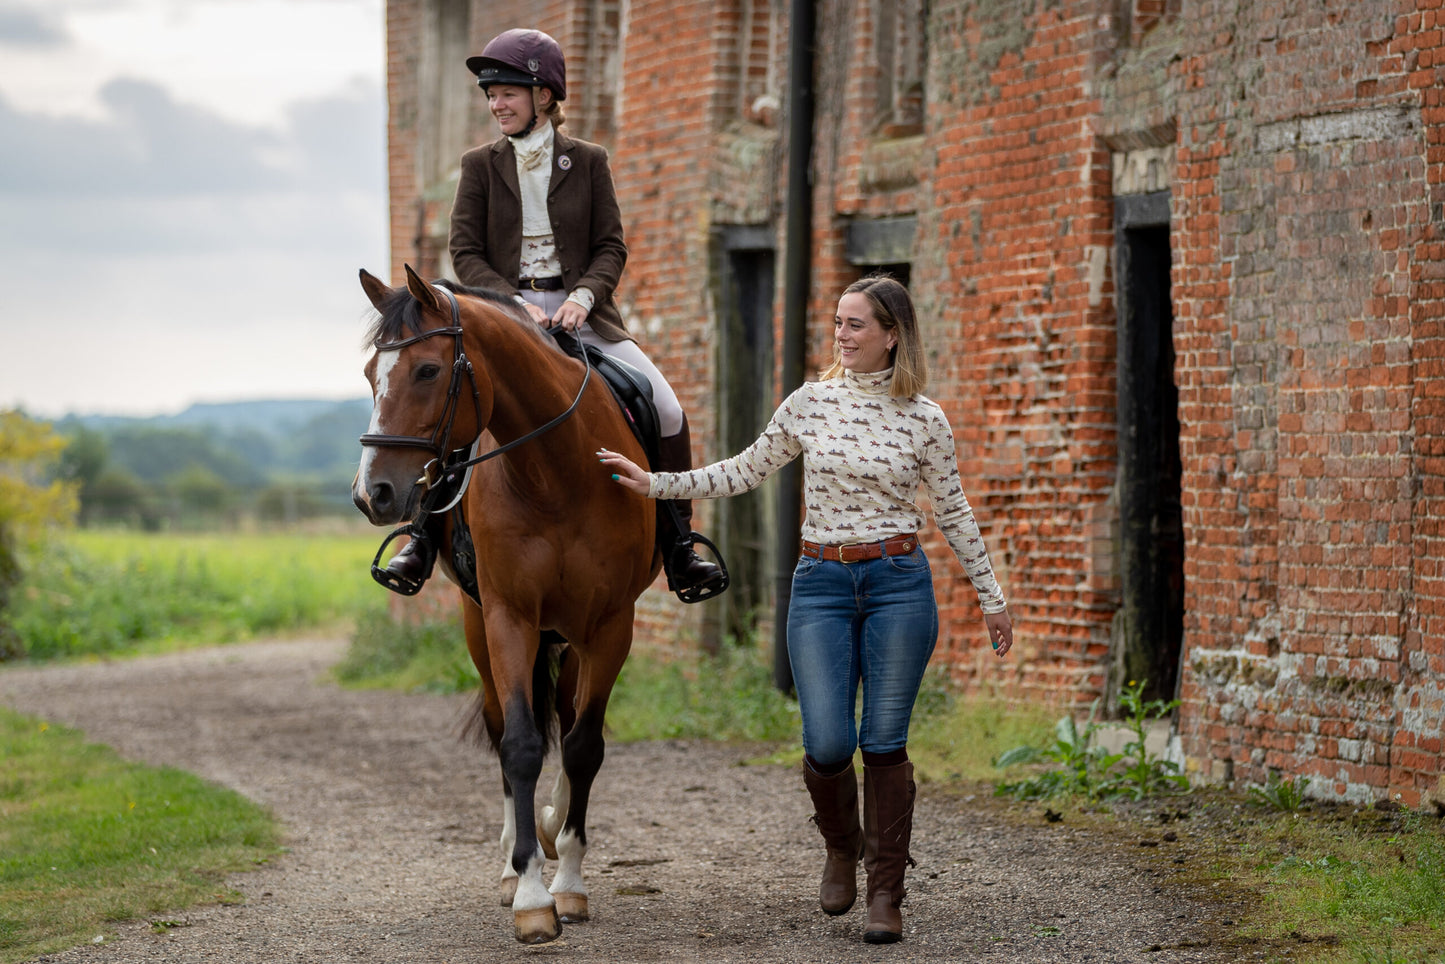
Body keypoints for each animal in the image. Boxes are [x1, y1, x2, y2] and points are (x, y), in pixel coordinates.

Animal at [352, 267, 658, 948]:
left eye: (428, 371)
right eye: (369, 373)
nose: (371, 494)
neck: (556, 471)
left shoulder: (610, 625)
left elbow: (584, 746)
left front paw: (567, 881)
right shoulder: (508, 618)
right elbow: (519, 744)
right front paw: (532, 895)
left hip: (571, 637)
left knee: (568, 724)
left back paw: (552, 824)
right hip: (479, 628)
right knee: (501, 731)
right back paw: (513, 858)